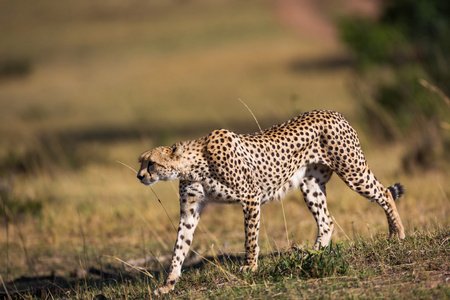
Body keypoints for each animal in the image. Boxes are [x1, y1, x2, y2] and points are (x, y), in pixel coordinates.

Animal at [136, 109, 404, 292]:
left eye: (152, 163)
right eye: (141, 162)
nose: (139, 176)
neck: (193, 166)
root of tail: (334, 112)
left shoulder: (250, 197)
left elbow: (250, 238)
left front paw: (250, 267)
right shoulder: (190, 210)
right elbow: (179, 247)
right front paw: (168, 283)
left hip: (352, 171)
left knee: (385, 193)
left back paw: (397, 234)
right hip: (310, 185)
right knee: (326, 220)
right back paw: (314, 254)